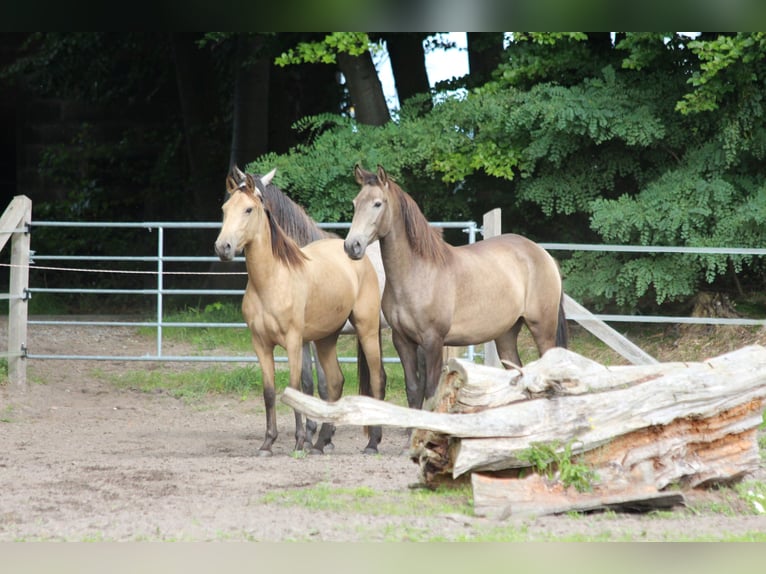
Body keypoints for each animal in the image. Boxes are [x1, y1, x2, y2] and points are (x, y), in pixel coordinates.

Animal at [344, 164, 568, 412]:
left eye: (377, 203)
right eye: (355, 203)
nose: (352, 246)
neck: (418, 273)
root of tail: (543, 254)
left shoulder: (433, 342)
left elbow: (432, 393)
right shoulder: (403, 341)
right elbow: (413, 392)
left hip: (542, 329)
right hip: (506, 335)